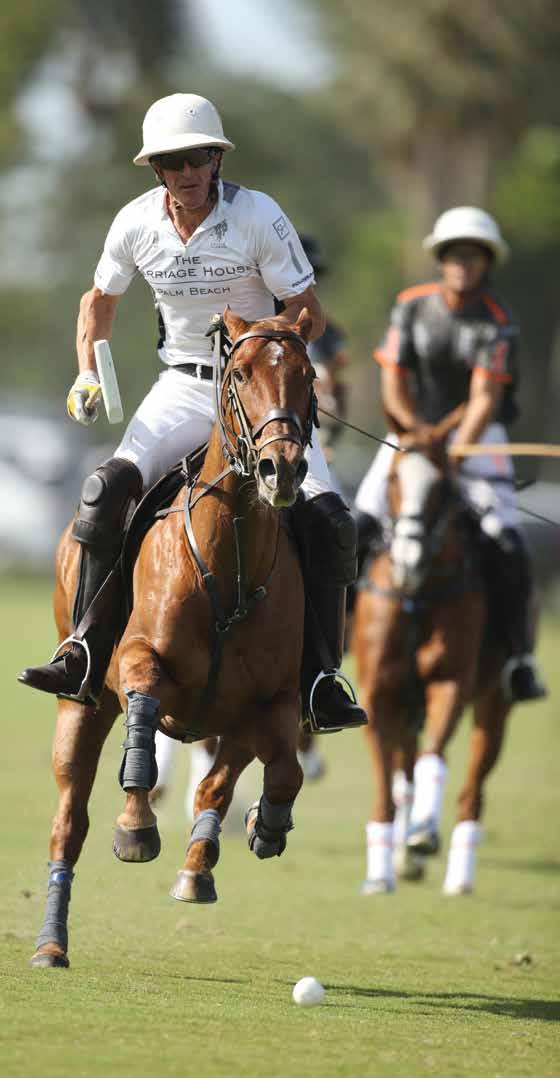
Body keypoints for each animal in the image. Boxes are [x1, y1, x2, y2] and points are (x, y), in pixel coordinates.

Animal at [30, 306, 319, 968]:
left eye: (307, 374)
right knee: (69, 821)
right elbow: (143, 713)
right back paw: (51, 944)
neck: (230, 559)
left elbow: (275, 773)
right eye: (239, 374)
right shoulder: (139, 658)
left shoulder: (270, 701)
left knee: (217, 784)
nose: (281, 468)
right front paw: (135, 827)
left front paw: (260, 828)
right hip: (81, 704)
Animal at [351, 408, 514, 896]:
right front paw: (381, 872)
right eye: (393, 478)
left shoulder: (449, 682)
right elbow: (385, 786)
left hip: (493, 703)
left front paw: (422, 833)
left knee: (471, 788)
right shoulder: (378, 694)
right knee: (403, 770)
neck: (417, 596)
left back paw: (457, 872)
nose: (409, 558)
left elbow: (434, 757)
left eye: (442, 484)